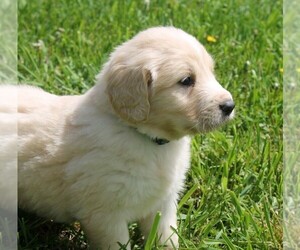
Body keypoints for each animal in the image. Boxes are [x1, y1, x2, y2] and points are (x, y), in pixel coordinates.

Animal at [9, 26, 233, 249]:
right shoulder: (105, 215)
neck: (145, 137)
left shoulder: (163, 203)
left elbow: (166, 236)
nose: (230, 106)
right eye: (186, 80)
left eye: (210, 72)